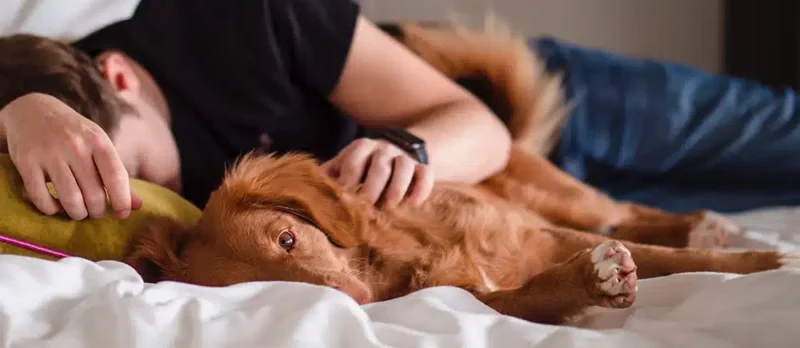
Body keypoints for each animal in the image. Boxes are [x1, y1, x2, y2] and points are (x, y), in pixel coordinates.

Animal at [122, 23, 796, 324]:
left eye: (288, 239)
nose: (355, 304)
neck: (401, 255)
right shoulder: (482, 294)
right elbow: (535, 292)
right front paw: (592, 282)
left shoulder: (542, 232)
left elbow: (679, 259)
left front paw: (769, 261)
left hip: (565, 199)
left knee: (629, 211)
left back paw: (705, 224)